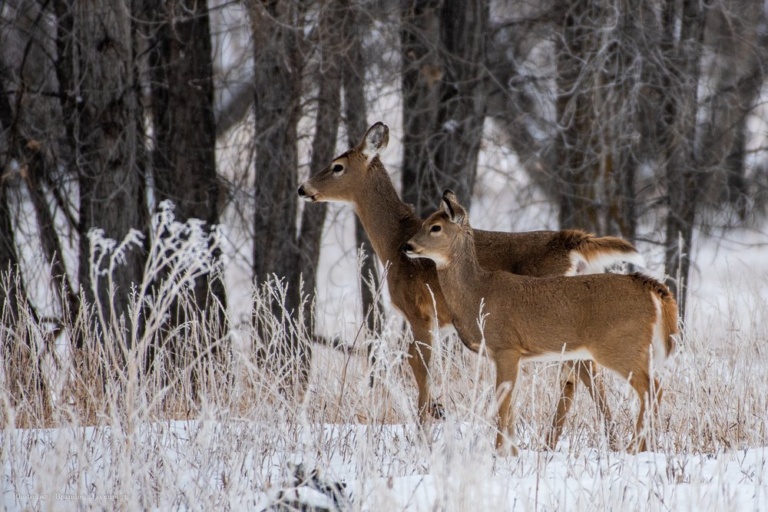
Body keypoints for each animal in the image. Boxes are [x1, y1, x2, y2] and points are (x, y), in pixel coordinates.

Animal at [297, 122, 646, 447]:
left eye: (337, 166)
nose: (303, 188)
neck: (395, 243)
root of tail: (569, 243)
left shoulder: (419, 311)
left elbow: (420, 364)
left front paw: (425, 427)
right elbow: (417, 362)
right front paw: (435, 413)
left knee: (584, 371)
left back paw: (596, 438)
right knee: (581, 372)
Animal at [403, 190, 678, 454]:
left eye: (435, 227)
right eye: (423, 222)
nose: (407, 245)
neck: (478, 294)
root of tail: (648, 287)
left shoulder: (506, 348)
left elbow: (502, 403)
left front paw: (501, 452)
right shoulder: (507, 355)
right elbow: (510, 404)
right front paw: (513, 451)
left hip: (620, 347)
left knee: (652, 388)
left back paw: (636, 448)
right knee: (649, 389)